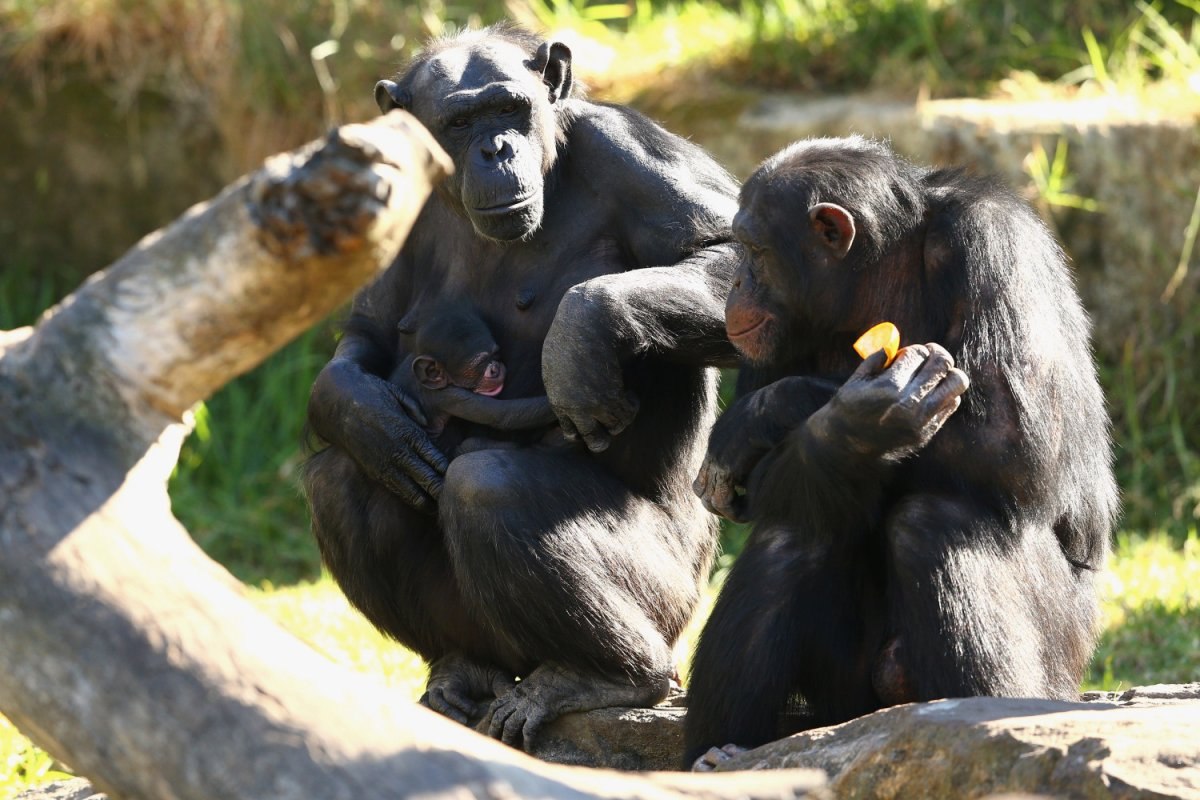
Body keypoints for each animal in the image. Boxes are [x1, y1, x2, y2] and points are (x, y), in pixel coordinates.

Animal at [686, 137, 1113, 767]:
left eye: (754, 251)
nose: (734, 284)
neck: (876, 273)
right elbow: (767, 485)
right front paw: (860, 423)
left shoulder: (992, 242)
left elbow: (1013, 441)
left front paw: (765, 414)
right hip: (844, 698)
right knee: (795, 531)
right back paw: (718, 756)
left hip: (1058, 665)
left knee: (935, 520)